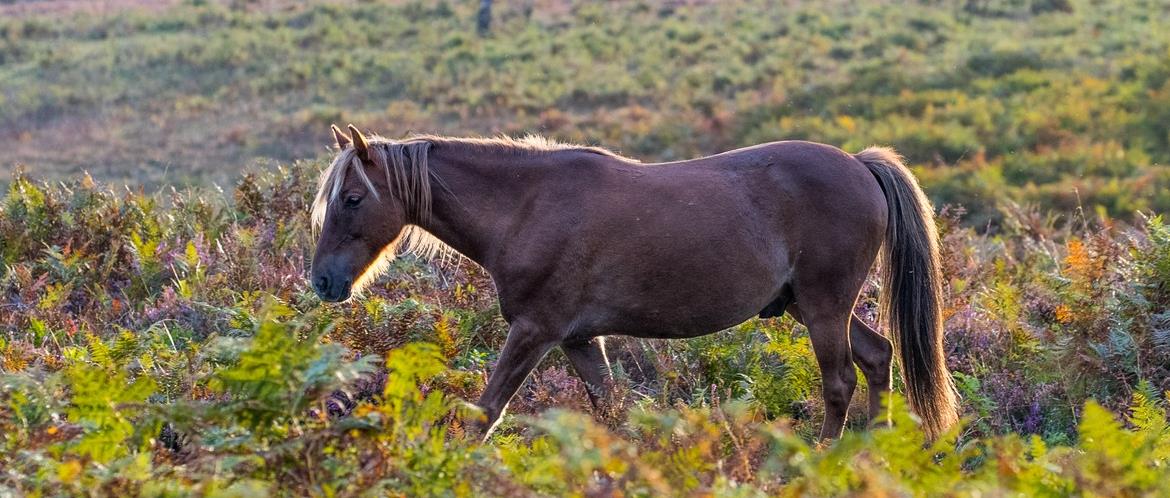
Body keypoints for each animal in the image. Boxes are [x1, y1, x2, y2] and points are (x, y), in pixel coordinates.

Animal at [311, 124, 959, 439]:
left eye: (351, 198)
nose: (322, 282)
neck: (527, 206)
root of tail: (860, 165)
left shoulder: (535, 331)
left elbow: (488, 409)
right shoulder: (577, 339)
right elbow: (611, 409)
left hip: (824, 307)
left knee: (840, 381)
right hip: (810, 306)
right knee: (878, 357)